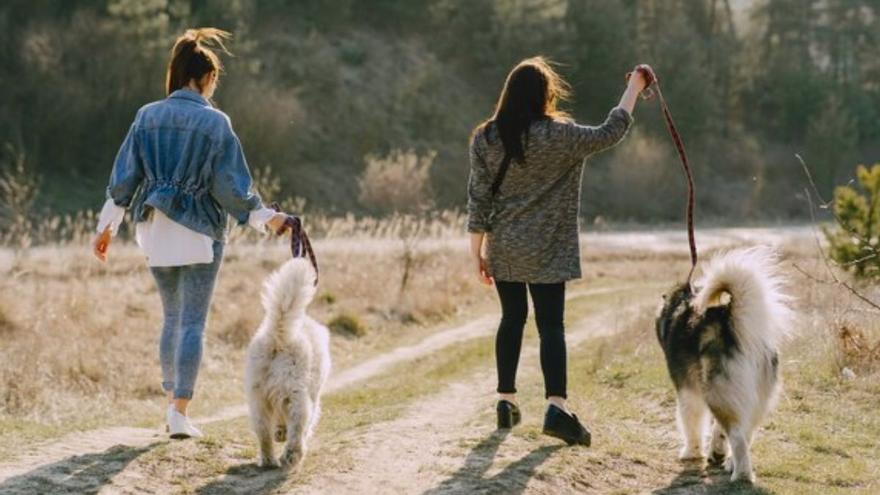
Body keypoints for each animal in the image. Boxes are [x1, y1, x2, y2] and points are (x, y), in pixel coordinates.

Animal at [244, 258, 330, 470]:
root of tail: (278, 337)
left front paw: (280, 432)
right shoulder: (313, 396)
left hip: (258, 398)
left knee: (263, 433)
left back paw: (269, 460)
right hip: (296, 395)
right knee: (298, 427)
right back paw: (292, 456)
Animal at [652, 248, 792, 484]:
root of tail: (736, 326)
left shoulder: (688, 391)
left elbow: (690, 423)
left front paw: (691, 452)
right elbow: (717, 430)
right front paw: (715, 452)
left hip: (717, 393)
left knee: (737, 436)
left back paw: (742, 474)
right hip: (753, 399)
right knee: (745, 433)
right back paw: (730, 463)